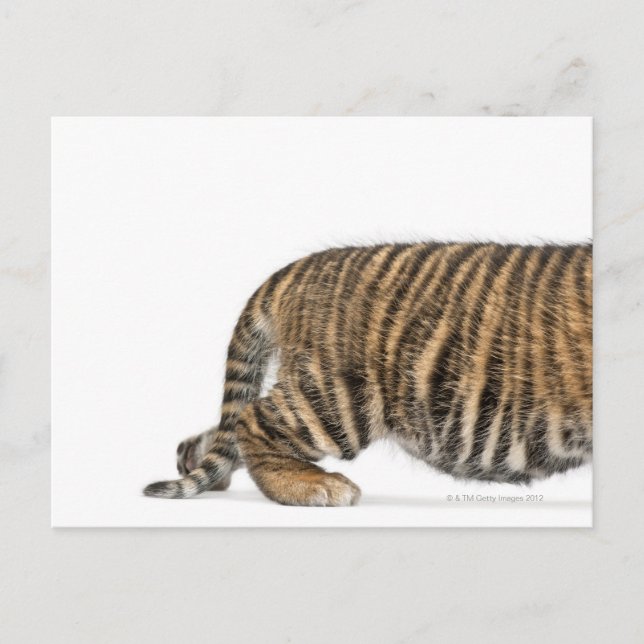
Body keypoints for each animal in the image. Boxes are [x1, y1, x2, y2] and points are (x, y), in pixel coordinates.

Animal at [143, 241, 592, 506]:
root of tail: (292, 270)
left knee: (222, 431)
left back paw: (201, 467)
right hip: (339, 398)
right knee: (254, 420)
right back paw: (316, 487)